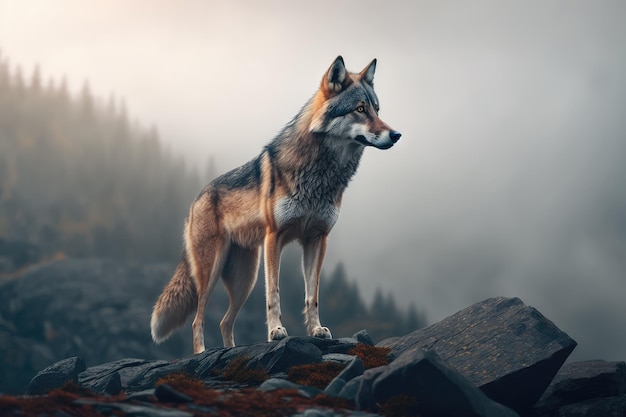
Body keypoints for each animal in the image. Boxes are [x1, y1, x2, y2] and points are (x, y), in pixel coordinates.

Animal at [154, 55, 402, 352]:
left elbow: (312, 295)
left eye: (377, 109)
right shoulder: (275, 237)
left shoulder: (317, 239)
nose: (396, 135)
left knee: (224, 321)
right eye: (360, 109)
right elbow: (274, 293)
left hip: (245, 280)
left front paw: (317, 330)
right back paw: (202, 352)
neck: (321, 176)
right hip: (212, 272)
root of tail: (196, 199)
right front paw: (276, 332)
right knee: (197, 320)